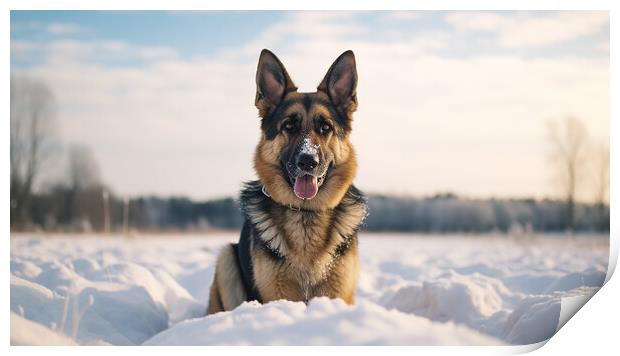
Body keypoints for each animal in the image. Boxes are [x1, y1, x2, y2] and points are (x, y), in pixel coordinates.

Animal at [206, 48, 366, 312]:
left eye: (325, 127)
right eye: (289, 126)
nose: (307, 161)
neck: (306, 213)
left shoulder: (338, 294)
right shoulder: (277, 295)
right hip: (226, 258)